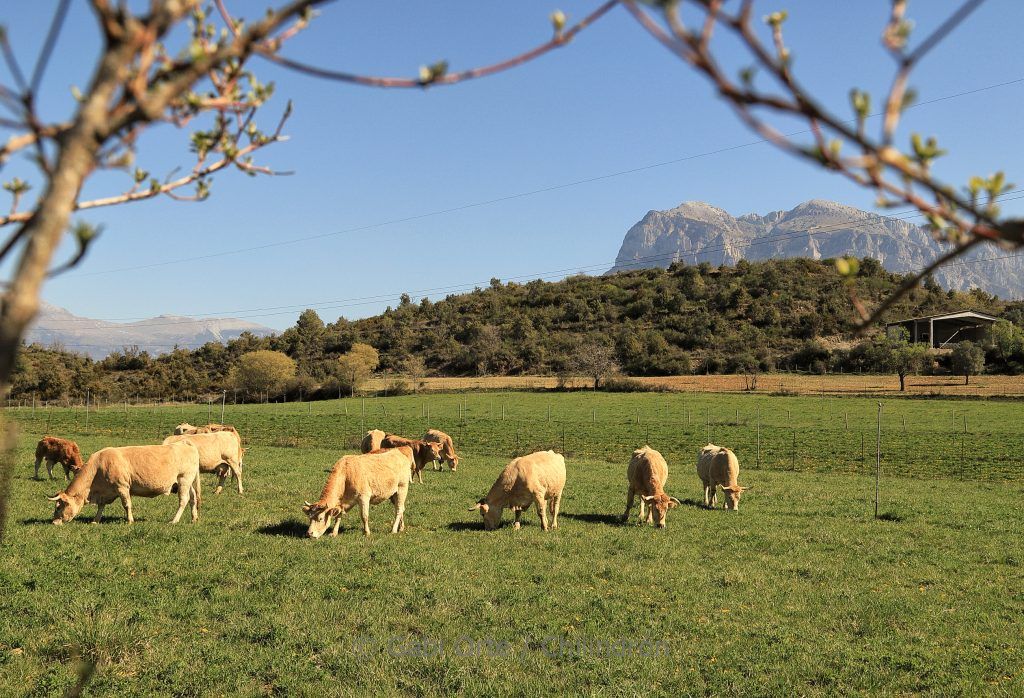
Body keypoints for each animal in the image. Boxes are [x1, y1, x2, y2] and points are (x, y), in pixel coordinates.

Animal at [47, 442, 199, 524]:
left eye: (59, 507)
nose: (54, 522)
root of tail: (185, 443)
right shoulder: (104, 492)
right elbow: (101, 507)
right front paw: (95, 520)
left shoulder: (122, 487)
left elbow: (127, 505)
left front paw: (130, 520)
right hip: (189, 482)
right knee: (193, 499)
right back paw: (194, 518)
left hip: (183, 479)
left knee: (184, 500)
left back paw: (174, 520)